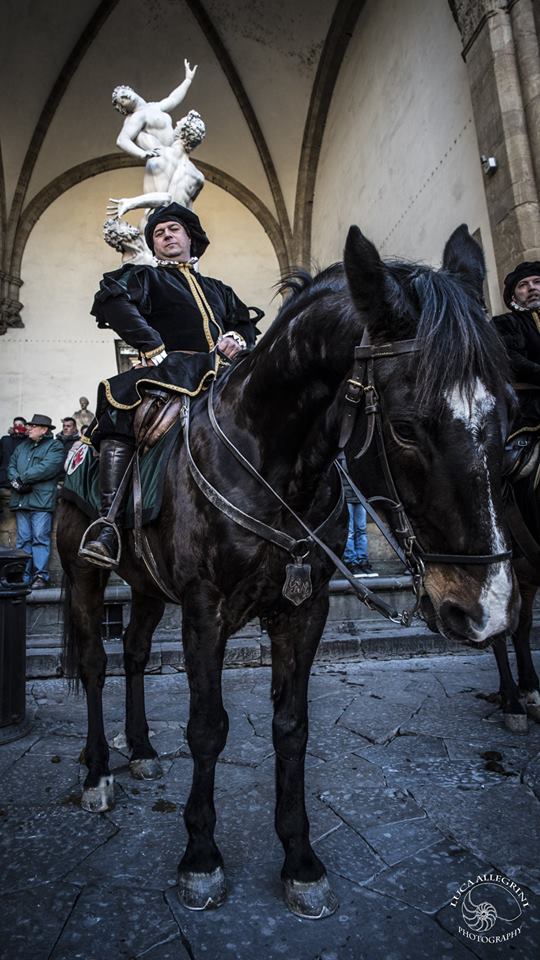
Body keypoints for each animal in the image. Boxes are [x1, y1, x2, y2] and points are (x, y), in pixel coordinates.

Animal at [57, 223, 520, 916]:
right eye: (406, 428)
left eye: (510, 413)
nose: (485, 608)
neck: (271, 460)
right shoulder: (205, 612)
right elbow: (207, 728)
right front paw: (201, 858)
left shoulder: (304, 611)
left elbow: (292, 729)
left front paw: (300, 861)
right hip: (85, 575)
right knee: (93, 663)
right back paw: (96, 773)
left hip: (147, 587)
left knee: (135, 653)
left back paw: (139, 751)